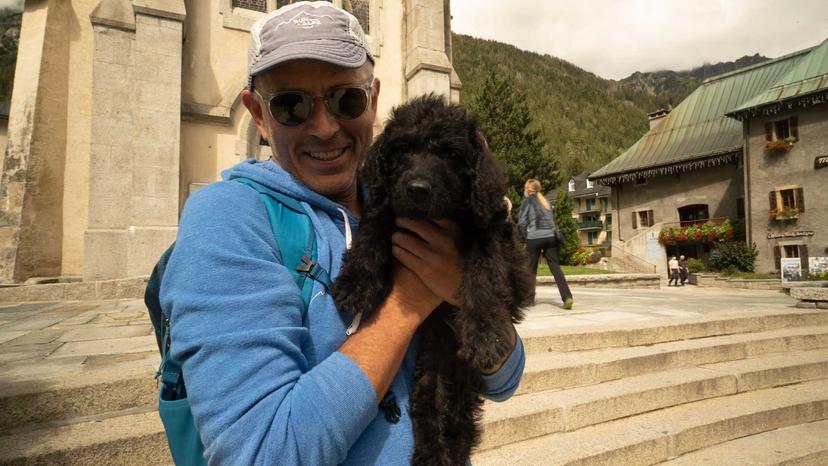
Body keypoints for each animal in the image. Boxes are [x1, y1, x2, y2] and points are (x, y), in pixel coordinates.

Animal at [332, 93, 532, 462]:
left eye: (451, 155)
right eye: (402, 150)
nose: (417, 189)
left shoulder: (493, 234)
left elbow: (483, 277)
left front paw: (485, 335)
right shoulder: (389, 206)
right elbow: (372, 232)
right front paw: (354, 284)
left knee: (458, 423)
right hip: (430, 370)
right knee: (427, 409)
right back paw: (430, 455)